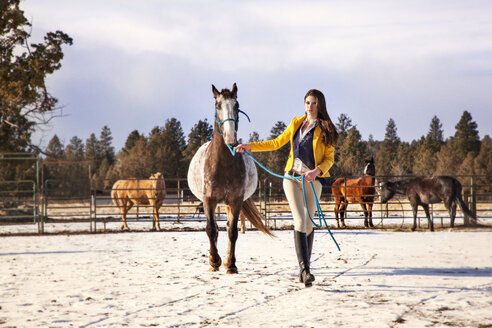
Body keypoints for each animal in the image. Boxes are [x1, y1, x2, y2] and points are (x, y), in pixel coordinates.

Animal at [187, 83, 272, 272]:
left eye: (237, 105)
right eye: (217, 105)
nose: (230, 137)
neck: (223, 164)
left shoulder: (236, 200)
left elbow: (232, 231)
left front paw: (230, 264)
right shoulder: (208, 200)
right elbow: (211, 229)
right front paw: (214, 261)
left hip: (227, 204)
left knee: (226, 228)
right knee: (215, 230)